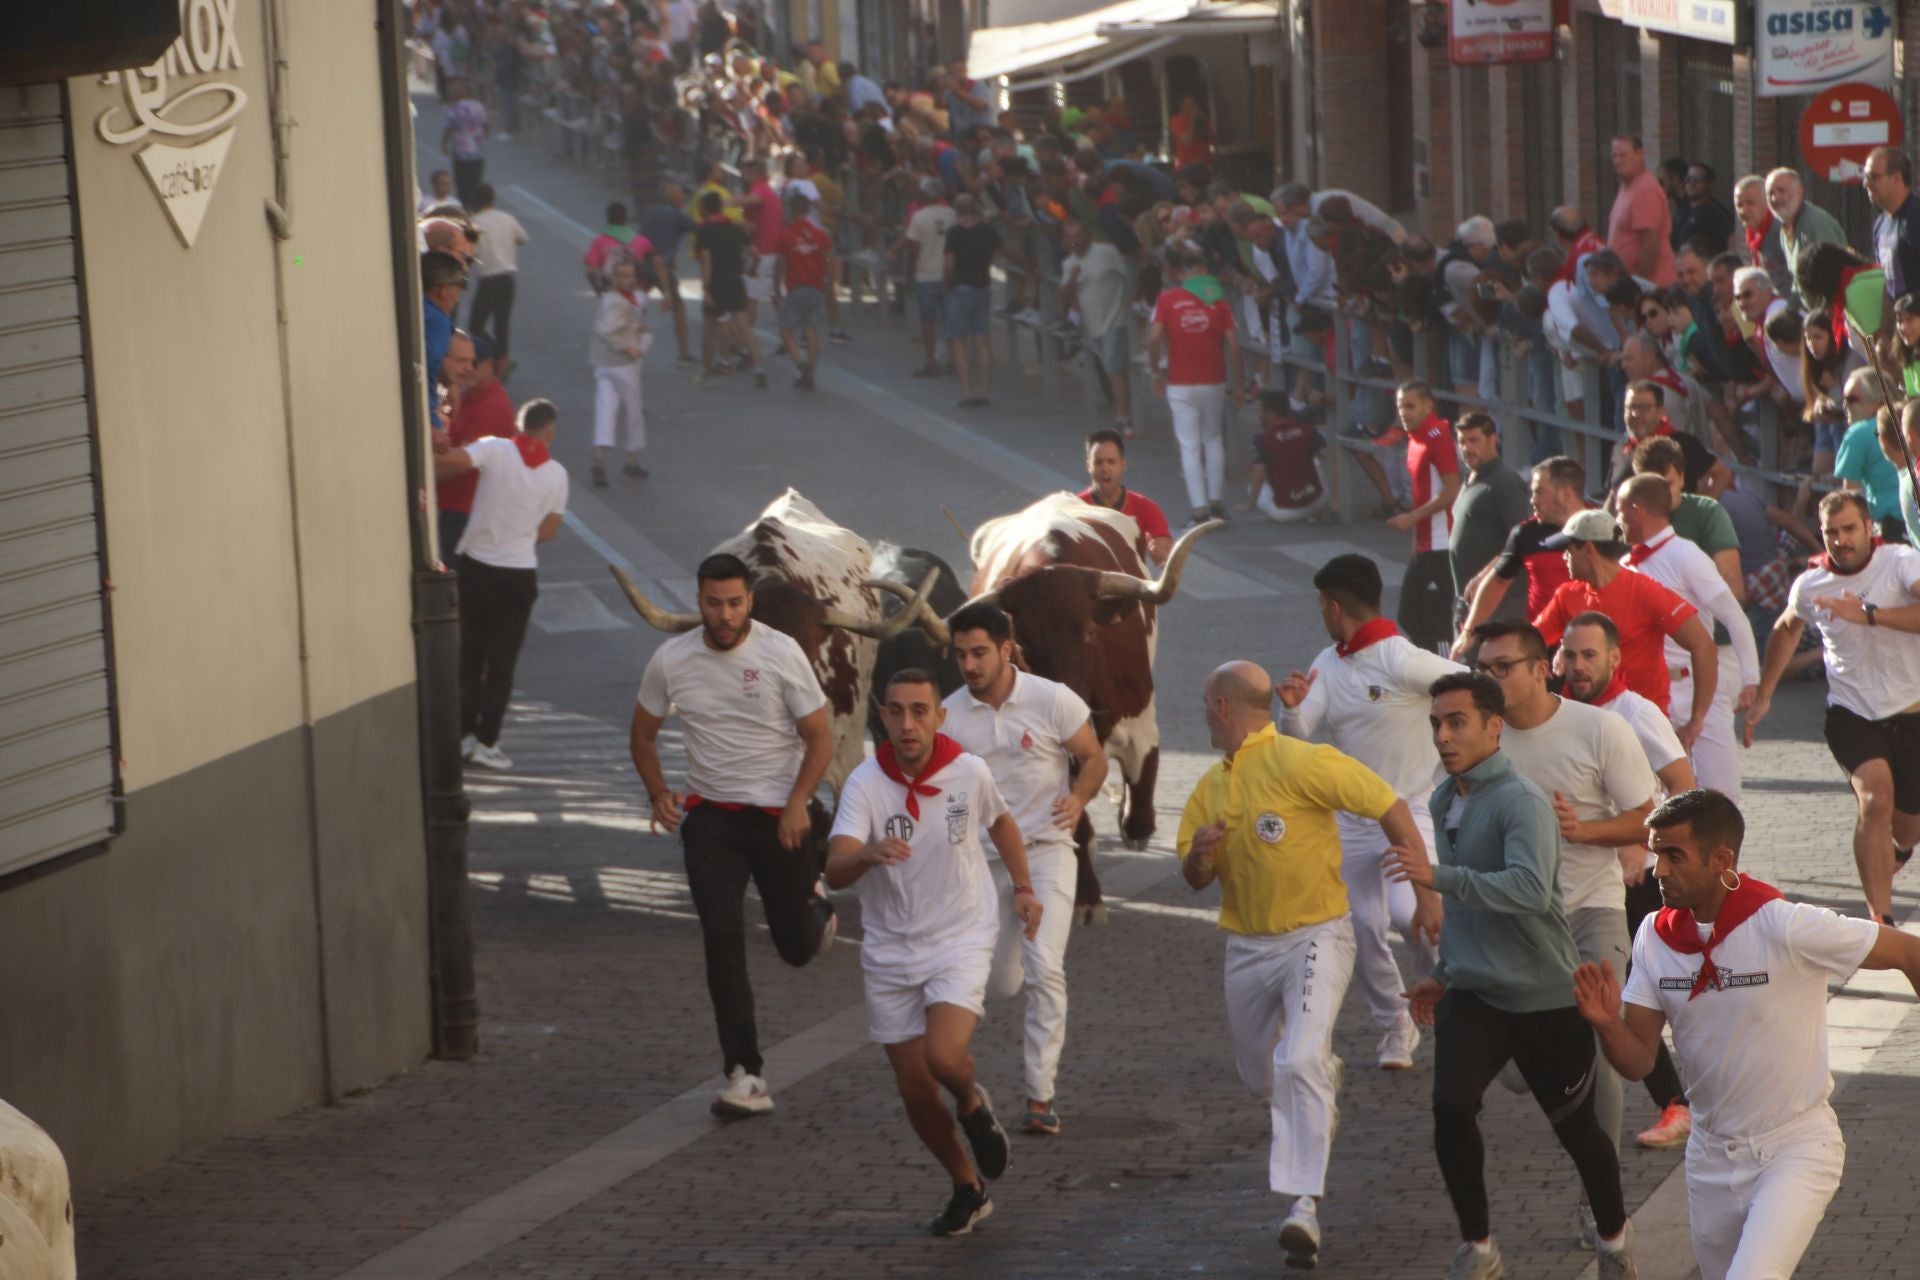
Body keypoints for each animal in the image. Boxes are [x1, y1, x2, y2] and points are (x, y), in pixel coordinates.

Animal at [960, 491, 1213, 921]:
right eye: (1022, 641)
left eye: (1091, 631)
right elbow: (1069, 815)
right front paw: (1088, 897)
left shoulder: (1139, 723)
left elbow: (1141, 785)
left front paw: (1134, 826)